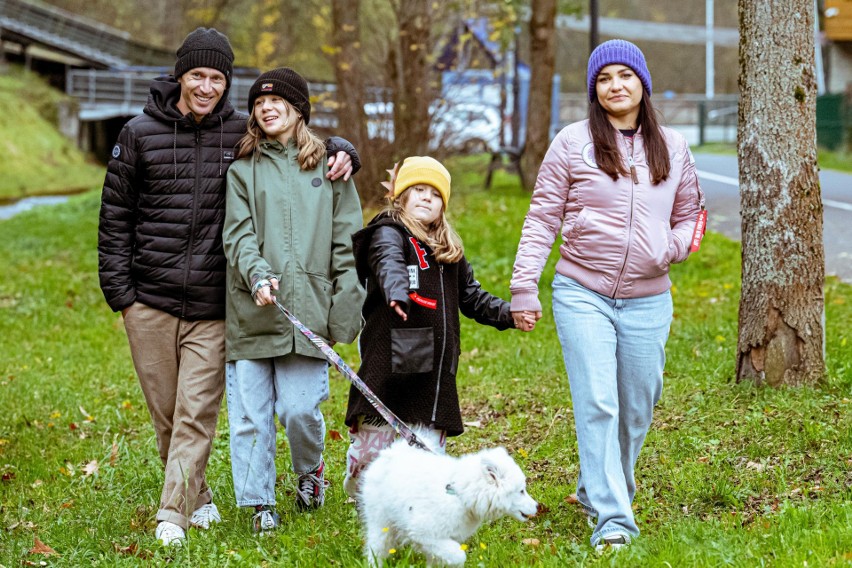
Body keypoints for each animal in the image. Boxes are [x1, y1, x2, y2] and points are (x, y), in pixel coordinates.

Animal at [356, 438, 536, 564]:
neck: (459, 494)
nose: (537, 506)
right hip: (380, 524)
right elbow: (459, 555)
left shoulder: (441, 541)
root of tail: (388, 454)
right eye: (521, 491)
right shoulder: (425, 534)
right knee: (376, 550)